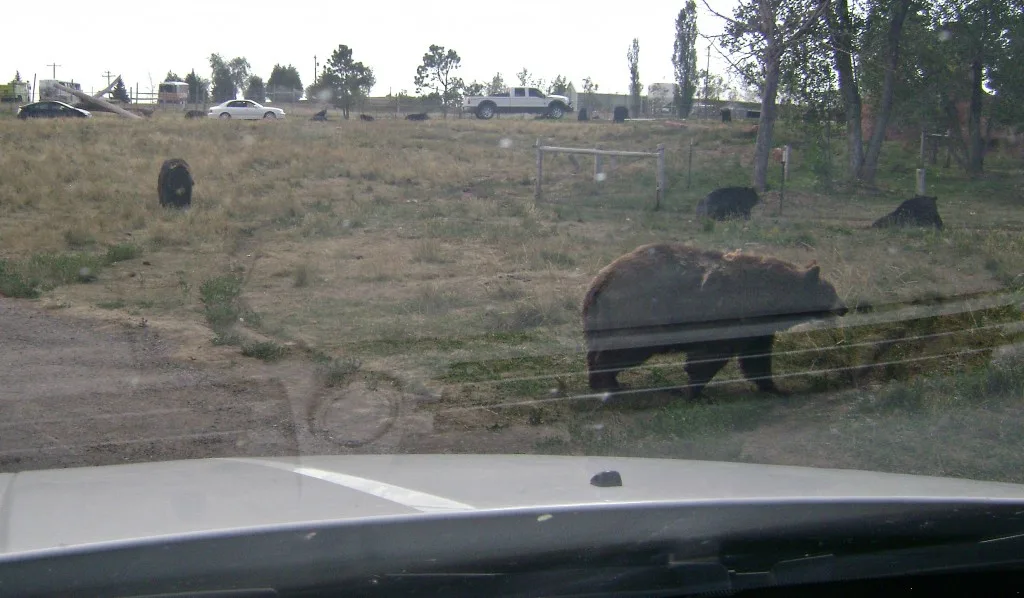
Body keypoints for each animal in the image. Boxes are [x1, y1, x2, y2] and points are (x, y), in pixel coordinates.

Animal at [585, 242, 847, 401]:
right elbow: (708, 357)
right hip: (636, 313)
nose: (844, 308)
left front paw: (773, 387)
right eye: (830, 291)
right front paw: (694, 391)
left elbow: (757, 358)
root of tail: (599, 282)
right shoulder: (727, 318)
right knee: (619, 351)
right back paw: (606, 383)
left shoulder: (757, 330)